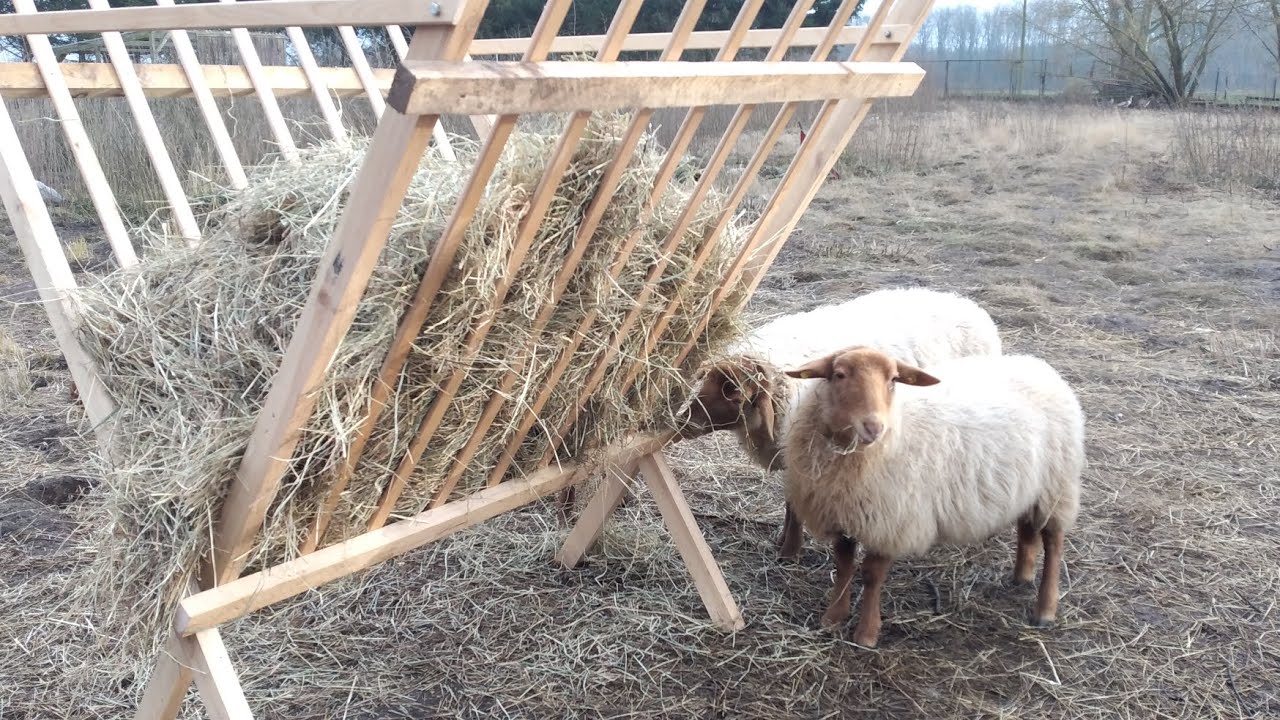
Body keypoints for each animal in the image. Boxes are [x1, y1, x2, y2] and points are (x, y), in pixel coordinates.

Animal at [676, 287, 1003, 559]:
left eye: (735, 393)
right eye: (706, 379)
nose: (682, 423)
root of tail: (972, 308)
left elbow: (795, 503)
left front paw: (789, 551)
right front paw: (784, 542)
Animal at [781, 346, 1084, 649]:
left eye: (893, 380)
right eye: (840, 375)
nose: (874, 427)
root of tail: (1039, 366)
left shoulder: (890, 521)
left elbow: (872, 576)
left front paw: (866, 634)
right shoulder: (844, 513)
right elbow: (843, 566)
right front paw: (833, 619)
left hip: (1057, 486)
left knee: (1054, 544)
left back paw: (1045, 610)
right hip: (1029, 487)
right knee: (1027, 527)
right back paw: (1022, 576)